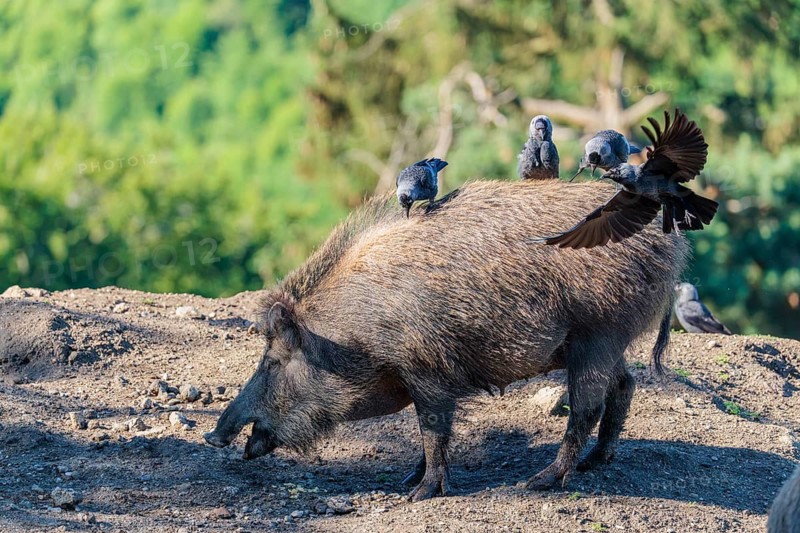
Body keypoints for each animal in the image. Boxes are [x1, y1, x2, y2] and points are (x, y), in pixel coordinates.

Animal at [204, 179, 688, 501]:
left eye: (273, 361)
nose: (212, 436)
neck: (356, 336)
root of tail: (670, 246)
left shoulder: (428, 370)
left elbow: (432, 428)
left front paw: (419, 494)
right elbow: (431, 435)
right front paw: (408, 481)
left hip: (598, 335)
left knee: (586, 408)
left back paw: (538, 482)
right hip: (605, 342)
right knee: (625, 386)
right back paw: (596, 462)